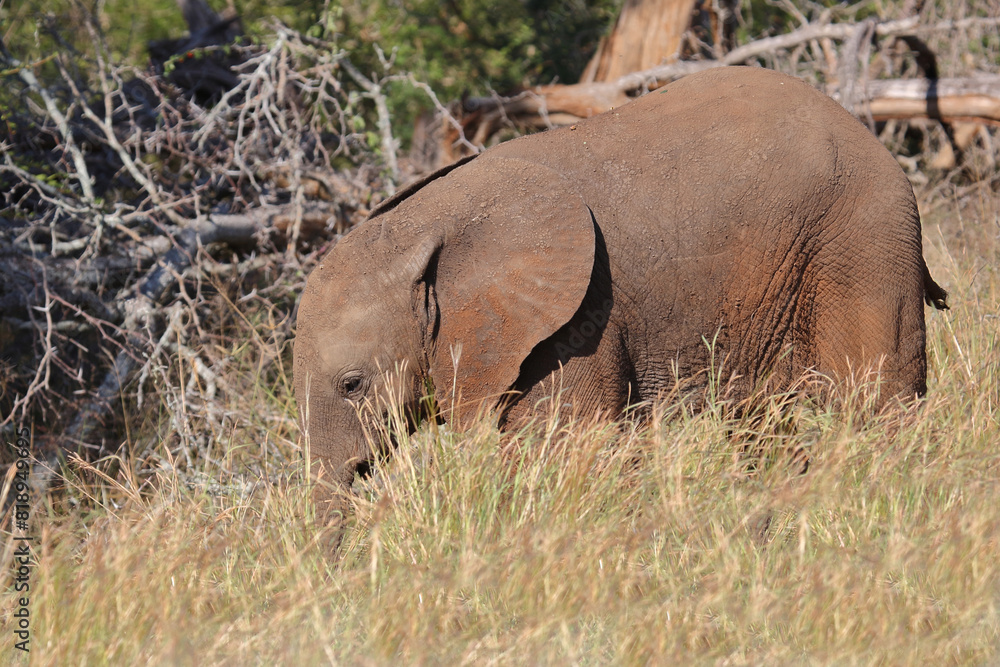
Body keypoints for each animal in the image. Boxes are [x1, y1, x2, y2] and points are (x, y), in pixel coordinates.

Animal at [293, 66, 947, 521]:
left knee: (874, 400)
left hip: (860, 243)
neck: (423, 226)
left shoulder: (577, 322)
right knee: (764, 424)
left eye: (353, 385)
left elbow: (566, 452)